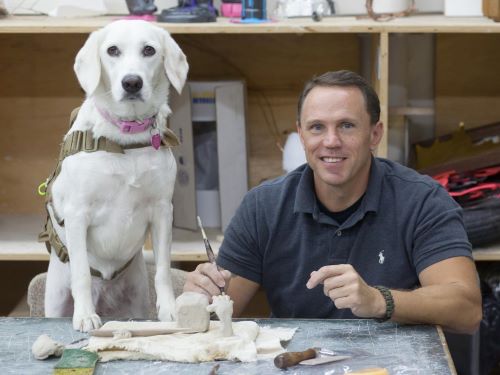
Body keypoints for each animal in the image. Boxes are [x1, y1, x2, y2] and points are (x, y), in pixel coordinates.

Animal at [41, 20, 188, 332]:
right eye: (112, 50)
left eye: (149, 50)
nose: (132, 82)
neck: (124, 138)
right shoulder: (77, 214)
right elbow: (82, 273)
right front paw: (85, 315)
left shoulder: (162, 212)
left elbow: (163, 270)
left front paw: (170, 310)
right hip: (55, 299)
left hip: (136, 297)